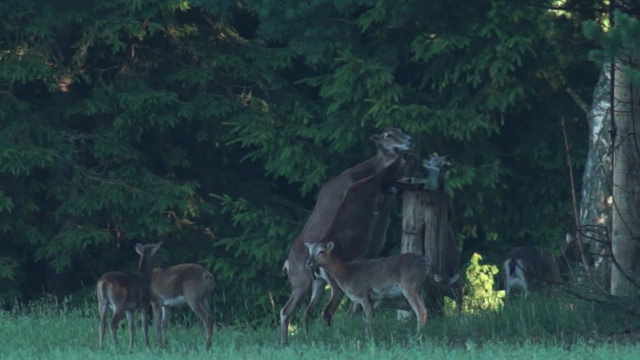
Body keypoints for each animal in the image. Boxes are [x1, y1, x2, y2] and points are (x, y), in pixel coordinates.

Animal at [278, 128, 418, 344]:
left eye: (401, 131)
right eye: (388, 135)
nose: (410, 140)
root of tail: (287, 264)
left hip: (316, 283)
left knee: (306, 312)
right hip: (301, 280)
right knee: (288, 310)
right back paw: (287, 341)